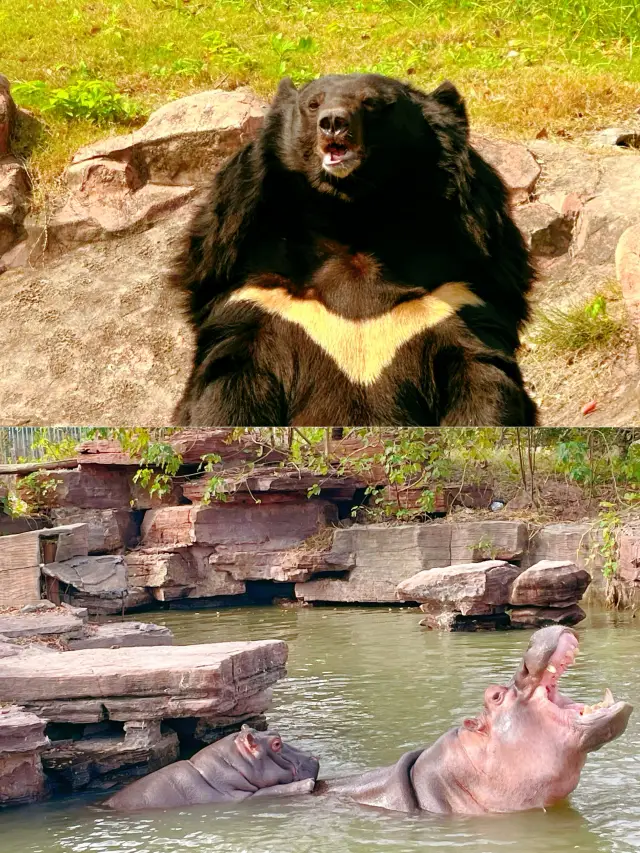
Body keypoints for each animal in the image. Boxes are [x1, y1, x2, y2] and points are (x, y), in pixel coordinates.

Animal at [171, 71, 536, 424]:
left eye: (371, 102)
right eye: (313, 104)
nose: (333, 122)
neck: (353, 218)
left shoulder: (458, 290)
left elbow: (484, 378)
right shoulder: (257, 289)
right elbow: (227, 385)